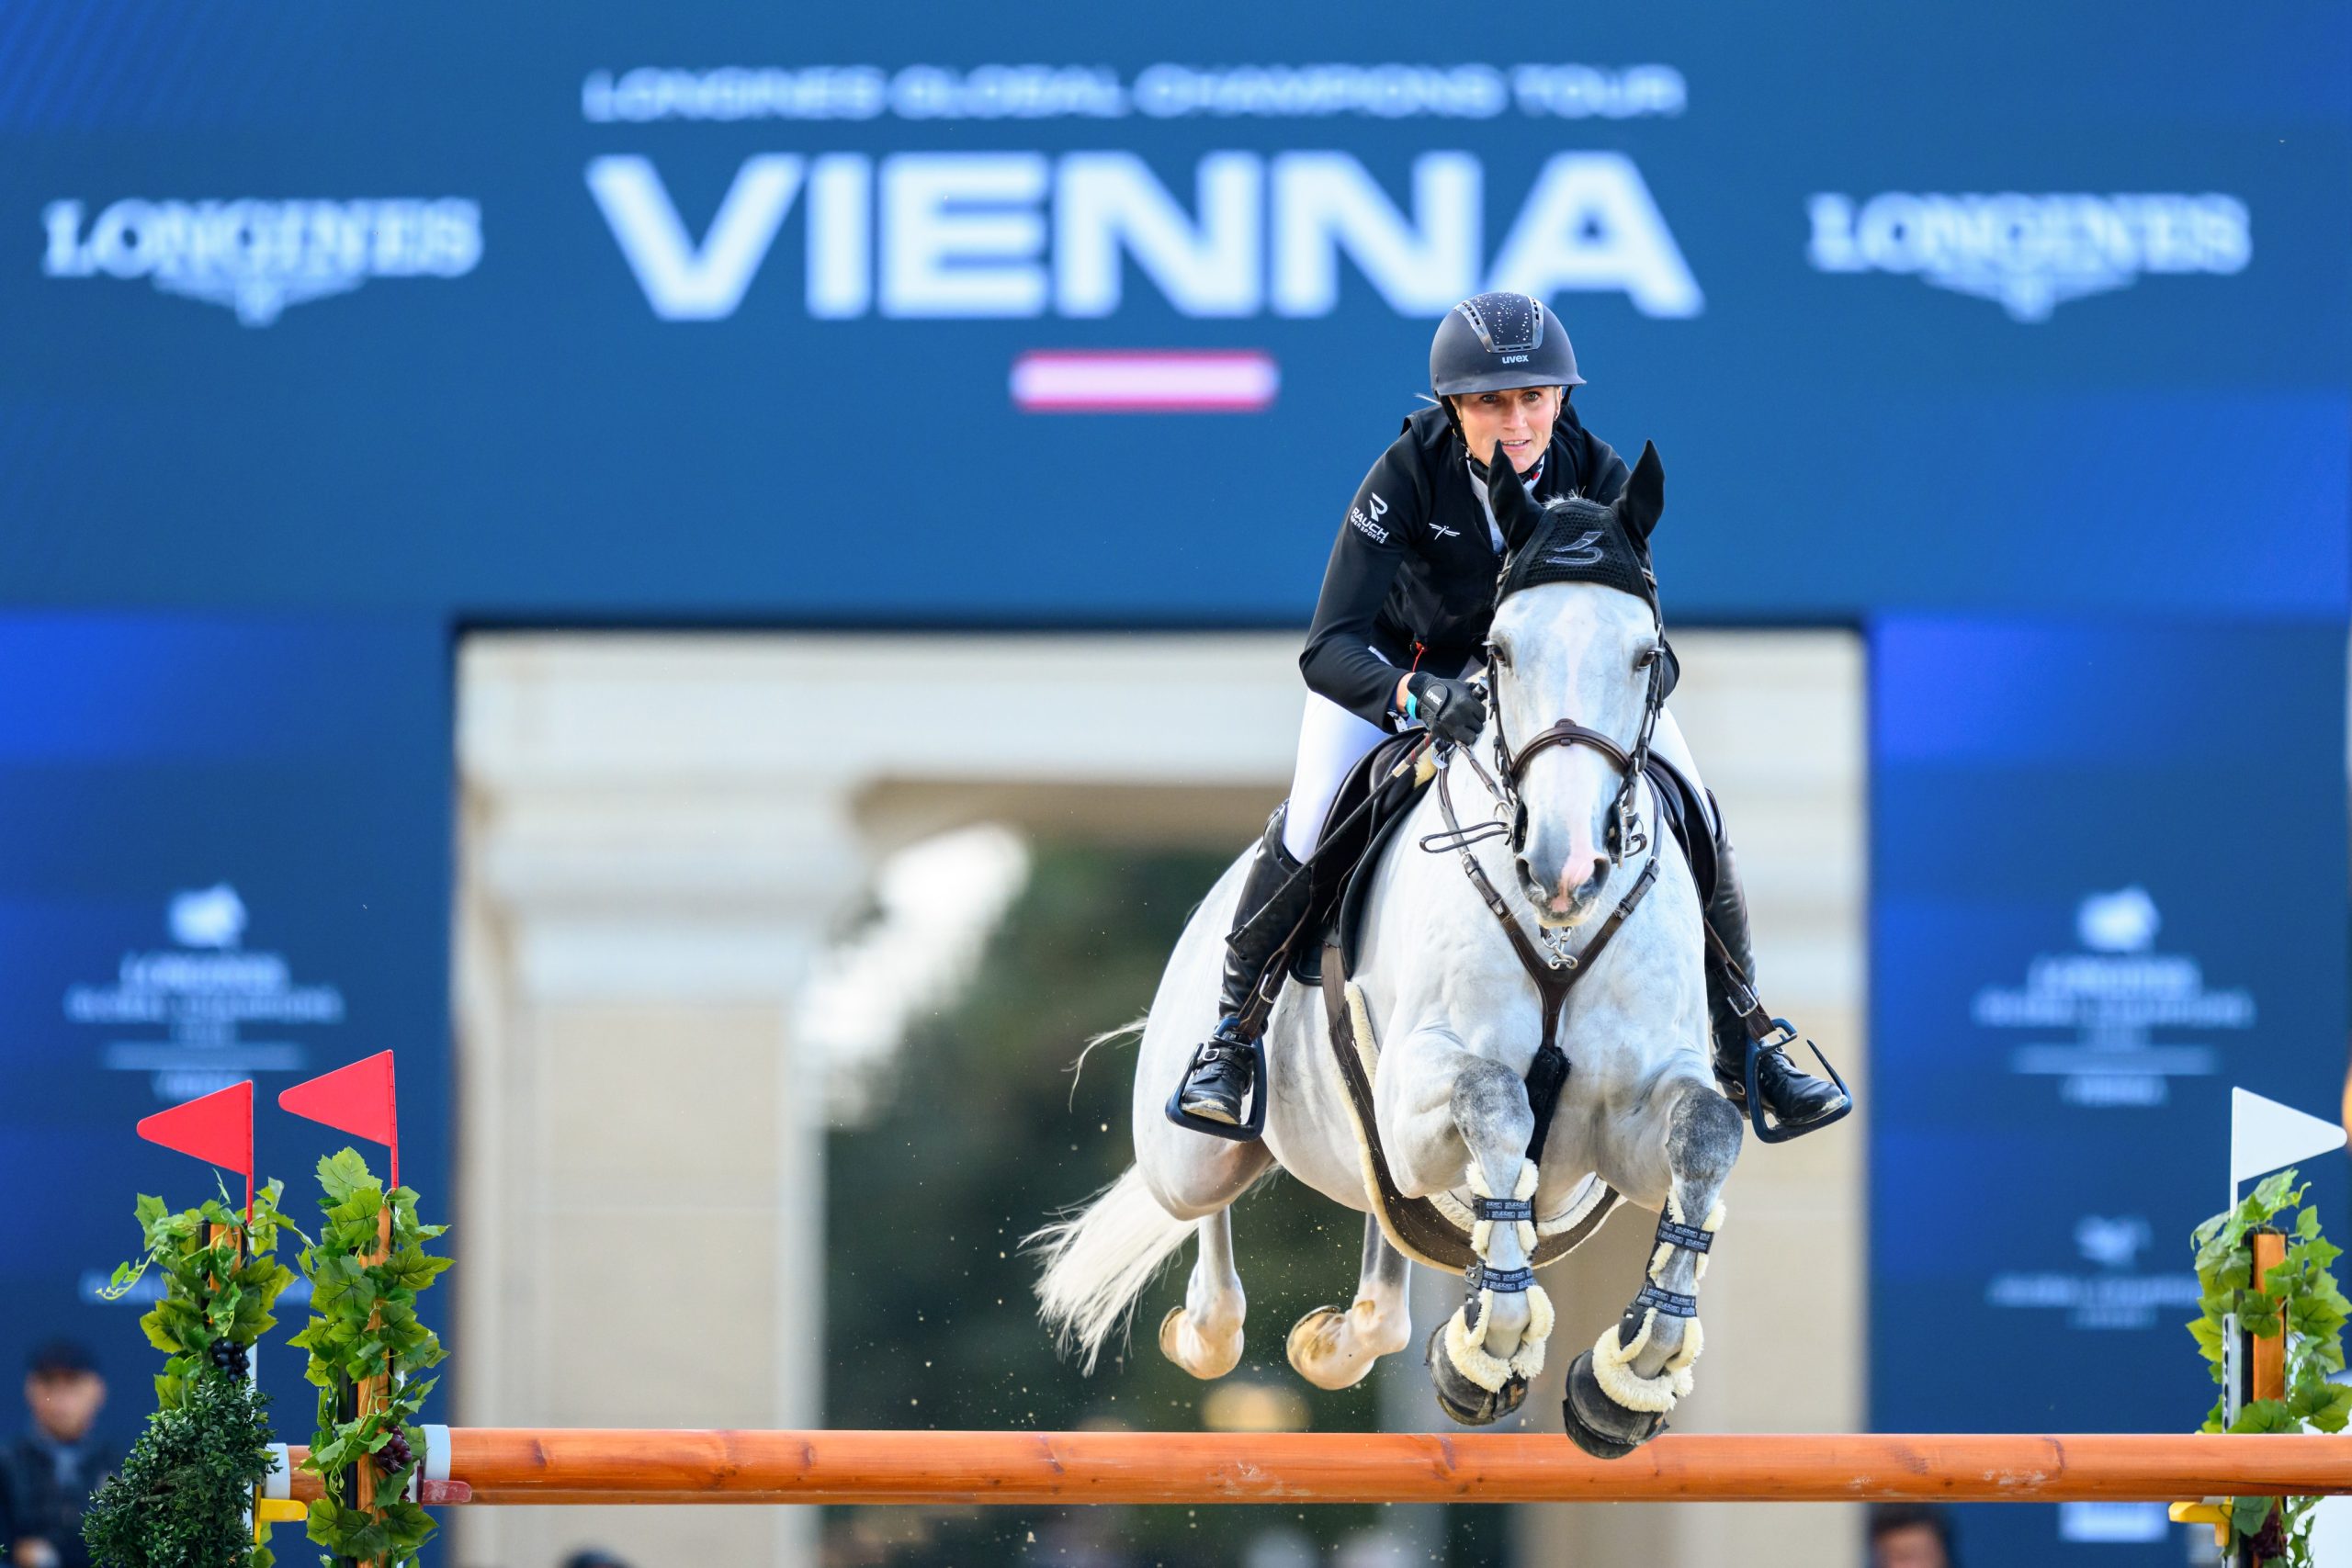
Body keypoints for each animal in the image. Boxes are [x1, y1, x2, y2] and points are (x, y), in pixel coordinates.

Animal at [1032, 444, 1744, 1455]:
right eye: (1499, 652)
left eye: (1646, 654)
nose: (1563, 868)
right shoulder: (1422, 1087)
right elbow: (1496, 1106)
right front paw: (1487, 1345)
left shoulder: (1630, 1116)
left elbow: (1706, 1134)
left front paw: (1635, 1370)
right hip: (1190, 1149)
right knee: (1206, 1196)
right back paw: (1211, 1317)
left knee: (1388, 1254)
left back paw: (1341, 1339)